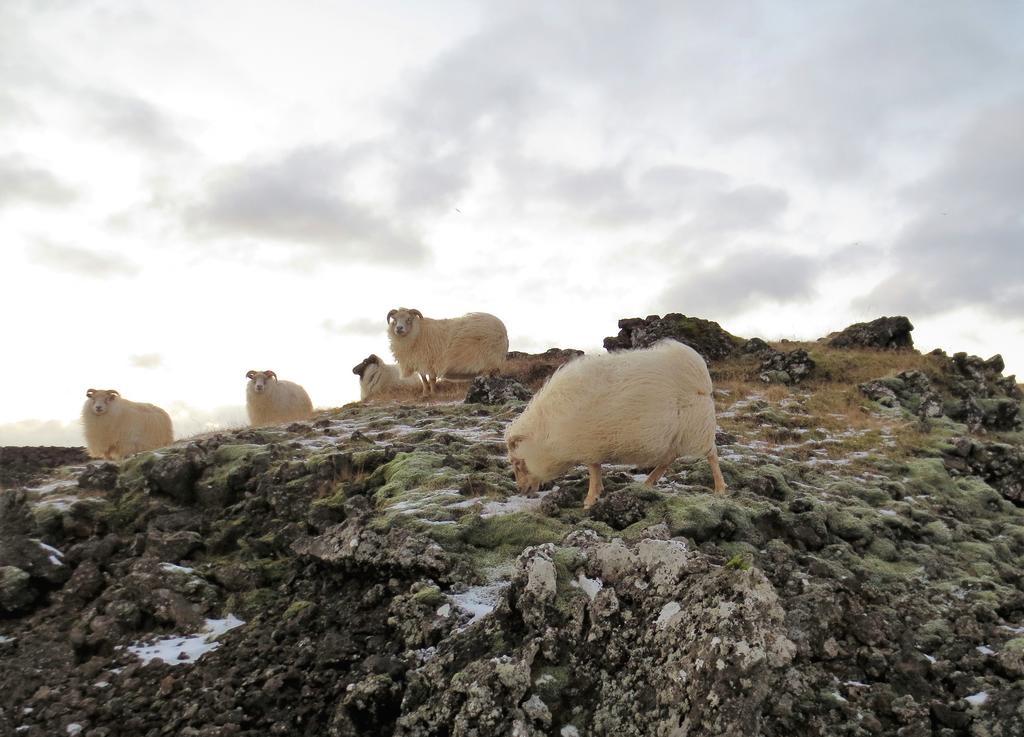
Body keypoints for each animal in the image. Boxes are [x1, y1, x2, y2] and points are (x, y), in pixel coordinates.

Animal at [503, 339, 729, 507]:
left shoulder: (588, 443)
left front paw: (590, 500)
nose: (521, 490)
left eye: (518, 463)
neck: (546, 430)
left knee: (711, 454)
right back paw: (648, 483)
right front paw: (597, 493)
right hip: (675, 433)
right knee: (668, 459)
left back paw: (719, 488)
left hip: (696, 426)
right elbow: (596, 469)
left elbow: (593, 470)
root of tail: (698, 371)